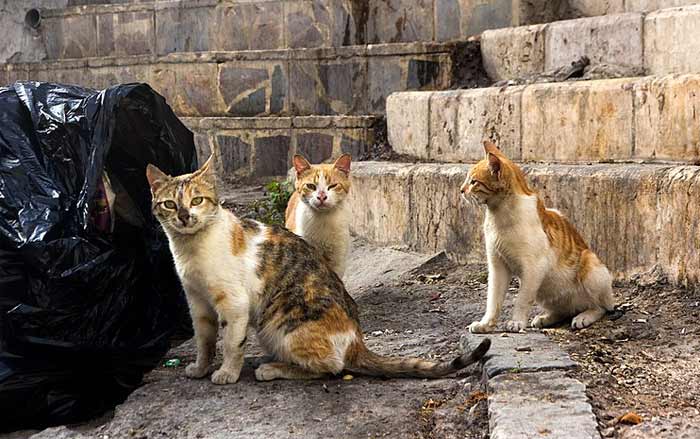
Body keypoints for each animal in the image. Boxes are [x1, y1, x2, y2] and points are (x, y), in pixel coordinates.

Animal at [145, 156, 490, 384]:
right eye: (170, 204)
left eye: (198, 200)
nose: (185, 216)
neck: (192, 249)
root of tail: (356, 339)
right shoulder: (198, 303)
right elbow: (204, 341)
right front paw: (201, 368)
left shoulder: (234, 304)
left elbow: (231, 342)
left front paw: (227, 372)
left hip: (279, 326)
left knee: (331, 367)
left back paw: (272, 369)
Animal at [462, 141, 616, 334]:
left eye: (473, 182)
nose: (461, 190)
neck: (499, 215)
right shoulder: (497, 266)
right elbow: (493, 299)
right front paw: (486, 324)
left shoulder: (534, 267)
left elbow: (522, 299)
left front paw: (517, 322)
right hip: (547, 293)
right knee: (564, 310)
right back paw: (545, 318)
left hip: (590, 264)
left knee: (600, 307)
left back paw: (584, 317)